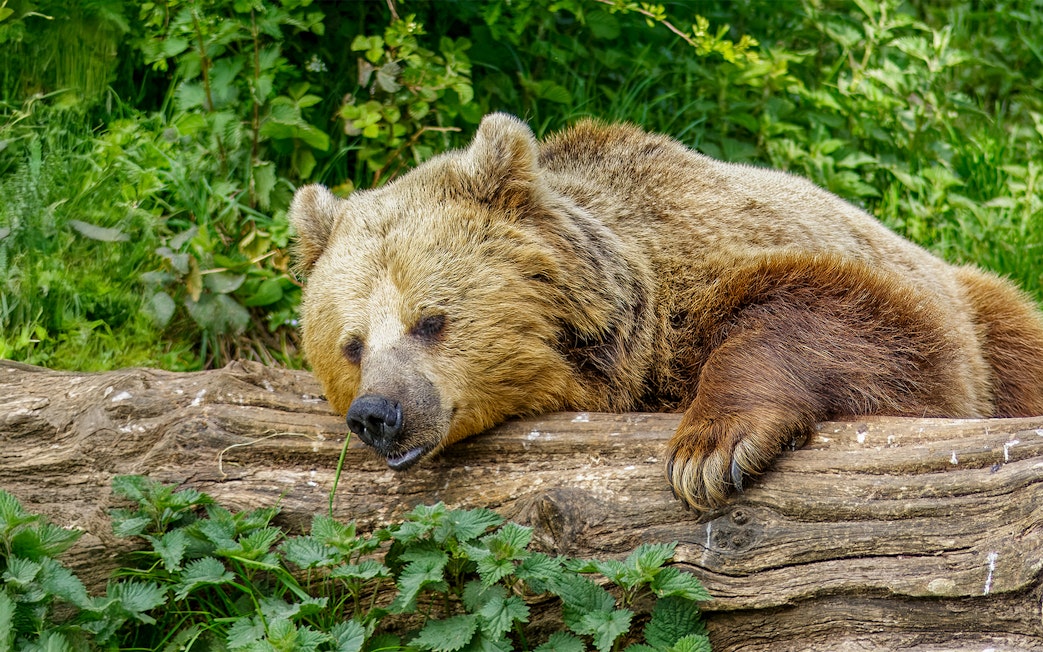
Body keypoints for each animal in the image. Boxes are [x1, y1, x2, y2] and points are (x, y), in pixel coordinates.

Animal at [289, 112, 1043, 511]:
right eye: (352, 343)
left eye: (431, 320)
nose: (378, 413)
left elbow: (869, 332)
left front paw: (709, 449)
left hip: (982, 307)